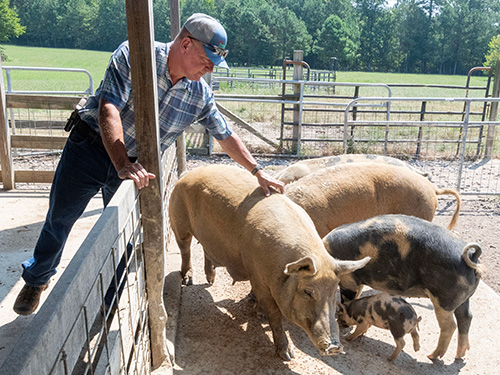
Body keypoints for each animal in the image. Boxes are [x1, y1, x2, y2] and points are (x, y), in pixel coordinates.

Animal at [170, 166, 370, 362]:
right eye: (307, 292)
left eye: (334, 291)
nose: (335, 347)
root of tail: (188, 173)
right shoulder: (257, 276)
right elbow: (274, 313)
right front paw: (287, 355)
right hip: (177, 220)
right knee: (185, 248)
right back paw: (187, 280)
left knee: (205, 248)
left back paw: (210, 280)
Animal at [322, 213, 482, 360]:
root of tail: (472, 257)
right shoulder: (357, 281)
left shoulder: (348, 280)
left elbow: (347, 301)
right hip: (462, 298)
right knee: (466, 317)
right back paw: (460, 355)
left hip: (444, 298)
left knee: (450, 325)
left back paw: (432, 356)